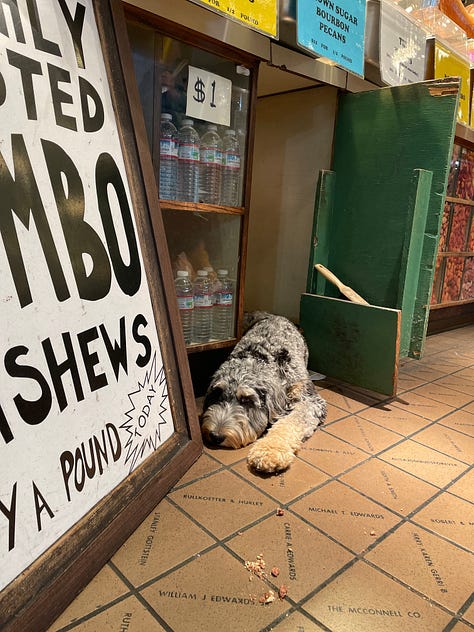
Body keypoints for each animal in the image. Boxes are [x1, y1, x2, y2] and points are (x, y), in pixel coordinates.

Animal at [199, 312, 326, 474]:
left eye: (246, 400)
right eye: (217, 394)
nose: (216, 436)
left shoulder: (308, 399)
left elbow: (291, 421)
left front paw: (270, 452)